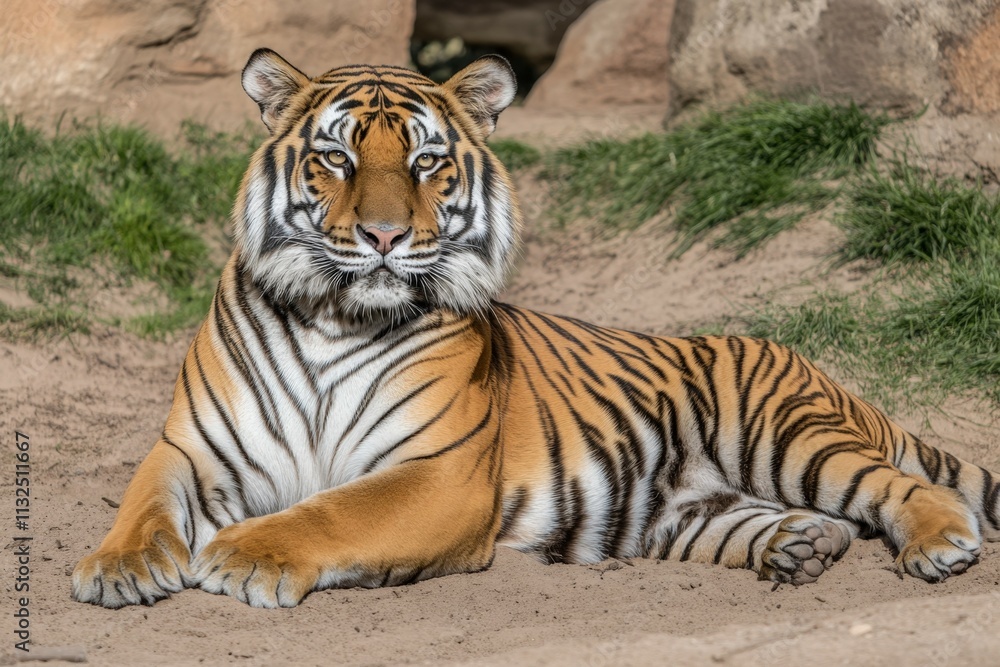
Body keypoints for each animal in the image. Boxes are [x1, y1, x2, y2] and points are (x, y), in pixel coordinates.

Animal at [72, 48, 999, 609]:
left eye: (426, 161)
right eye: (336, 157)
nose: (382, 236)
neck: (334, 315)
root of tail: (817, 369)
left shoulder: (438, 471)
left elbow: (328, 511)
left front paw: (244, 555)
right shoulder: (191, 446)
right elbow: (144, 500)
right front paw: (117, 567)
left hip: (785, 433)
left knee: (896, 483)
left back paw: (939, 541)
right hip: (688, 510)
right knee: (791, 518)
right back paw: (801, 547)